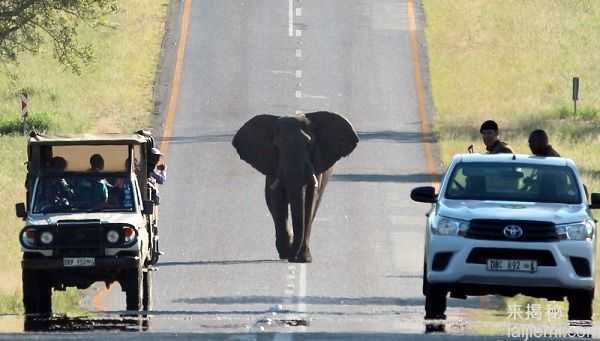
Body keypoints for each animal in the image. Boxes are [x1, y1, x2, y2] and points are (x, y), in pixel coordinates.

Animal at [232, 110, 358, 262]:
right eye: (276, 147)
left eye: (309, 145)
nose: (292, 257)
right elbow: (277, 200)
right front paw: (286, 253)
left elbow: (309, 202)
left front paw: (304, 258)